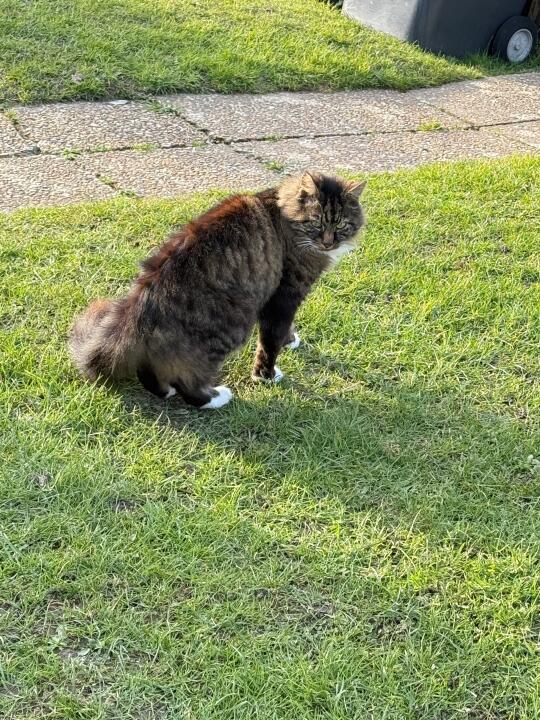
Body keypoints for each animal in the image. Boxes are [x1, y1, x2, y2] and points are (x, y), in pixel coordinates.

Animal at [69, 171, 366, 409]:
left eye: (340, 224)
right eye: (316, 222)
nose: (328, 242)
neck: (285, 216)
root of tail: (139, 300)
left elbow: (283, 331)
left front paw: (290, 339)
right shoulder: (285, 295)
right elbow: (269, 343)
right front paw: (267, 376)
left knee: (151, 371)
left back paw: (166, 391)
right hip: (233, 325)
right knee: (187, 379)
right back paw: (214, 397)